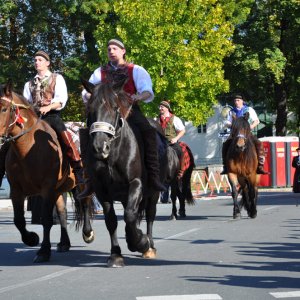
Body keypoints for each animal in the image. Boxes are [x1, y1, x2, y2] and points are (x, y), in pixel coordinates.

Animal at [0, 81, 94, 262]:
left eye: (4, 109)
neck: (27, 148)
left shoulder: (47, 188)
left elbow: (47, 220)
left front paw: (43, 251)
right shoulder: (17, 190)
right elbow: (18, 220)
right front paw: (31, 239)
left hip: (82, 183)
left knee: (85, 204)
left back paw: (87, 233)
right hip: (59, 190)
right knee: (63, 213)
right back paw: (64, 243)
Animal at [82, 78, 168, 266]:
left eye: (115, 107)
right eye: (90, 108)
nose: (100, 147)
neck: (113, 154)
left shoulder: (135, 183)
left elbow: (129, 215)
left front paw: (140, 242)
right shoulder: (102, 190)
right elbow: (112, 221)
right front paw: (116, 254)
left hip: (153, 193)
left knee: (150, 215)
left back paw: (149, 246)